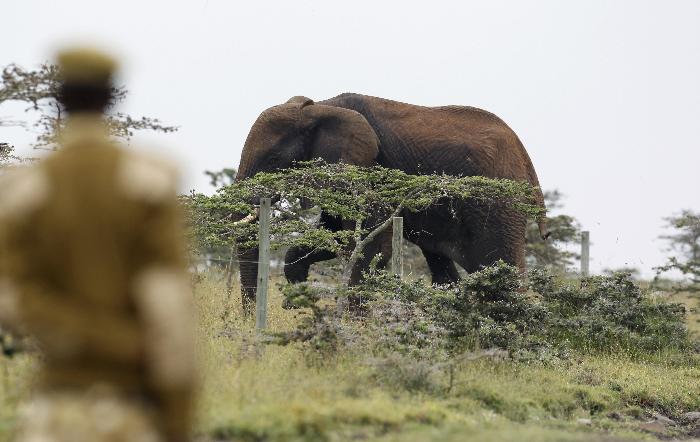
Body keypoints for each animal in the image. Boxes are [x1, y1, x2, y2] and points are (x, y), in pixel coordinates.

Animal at [235, 92, 548, 310]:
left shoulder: (369, 168)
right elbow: (333, 235)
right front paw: (298, 297)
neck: (320, 107)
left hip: (497, 203)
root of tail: (525, 157)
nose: (249, 318)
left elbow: (372, 248)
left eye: (274, 159)